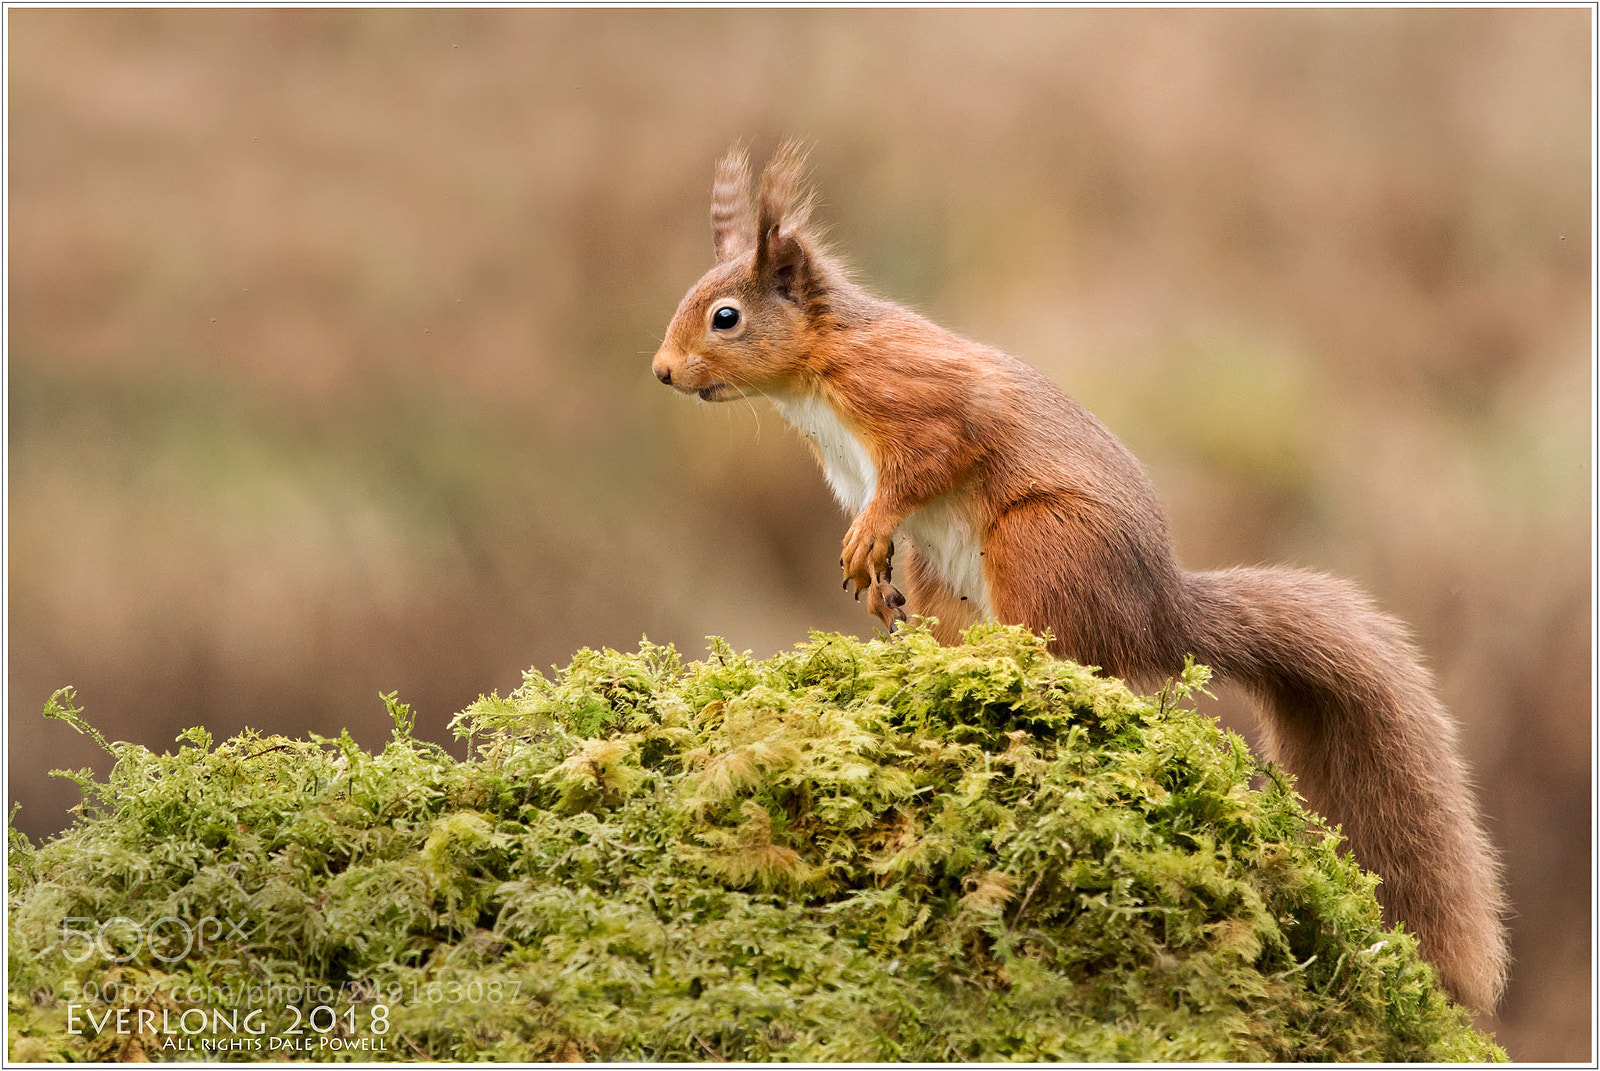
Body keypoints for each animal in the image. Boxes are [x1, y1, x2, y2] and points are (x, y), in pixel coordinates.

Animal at [651, 141, 1508, 1011]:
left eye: (726, 316)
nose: (661, 372)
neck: (817, 375)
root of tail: (1159, 618)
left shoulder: (918, 396)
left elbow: (928, 461)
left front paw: (868, 537)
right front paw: (868, 575)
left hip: (1041, 543)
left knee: (1075, 661)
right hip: (951, 578)